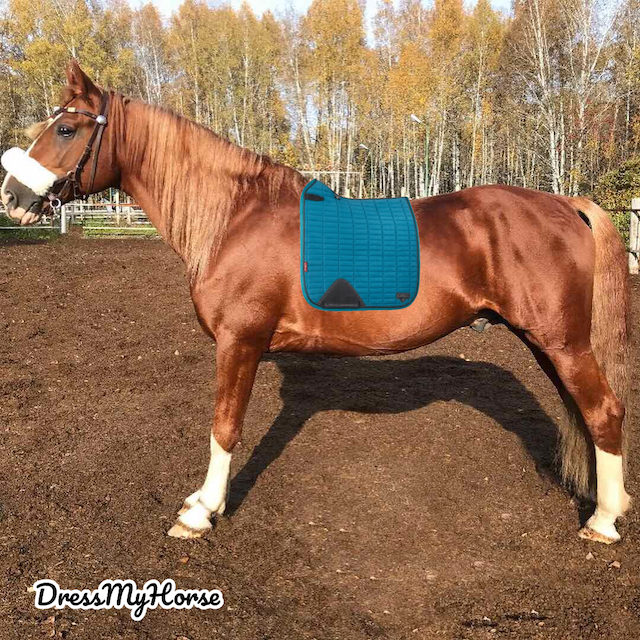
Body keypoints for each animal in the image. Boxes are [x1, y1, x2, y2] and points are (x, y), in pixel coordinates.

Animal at [1, 60, 630, 545]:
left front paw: (201, 512)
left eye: (65, 129)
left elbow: (224, 426)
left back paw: (603, 521)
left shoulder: (239, 343)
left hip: (562, 342)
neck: (236, 217)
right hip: (549, 342)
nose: (12, 196)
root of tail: (567, 204)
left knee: (604, 412)